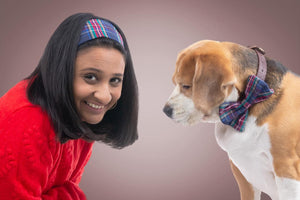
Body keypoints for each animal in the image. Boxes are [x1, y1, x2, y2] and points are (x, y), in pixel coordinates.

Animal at [163, 39, 300, 199]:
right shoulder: (242, 172)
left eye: (186, 86)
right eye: (175, 82)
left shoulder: (286, 170)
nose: (165, 110)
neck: (245, 105)